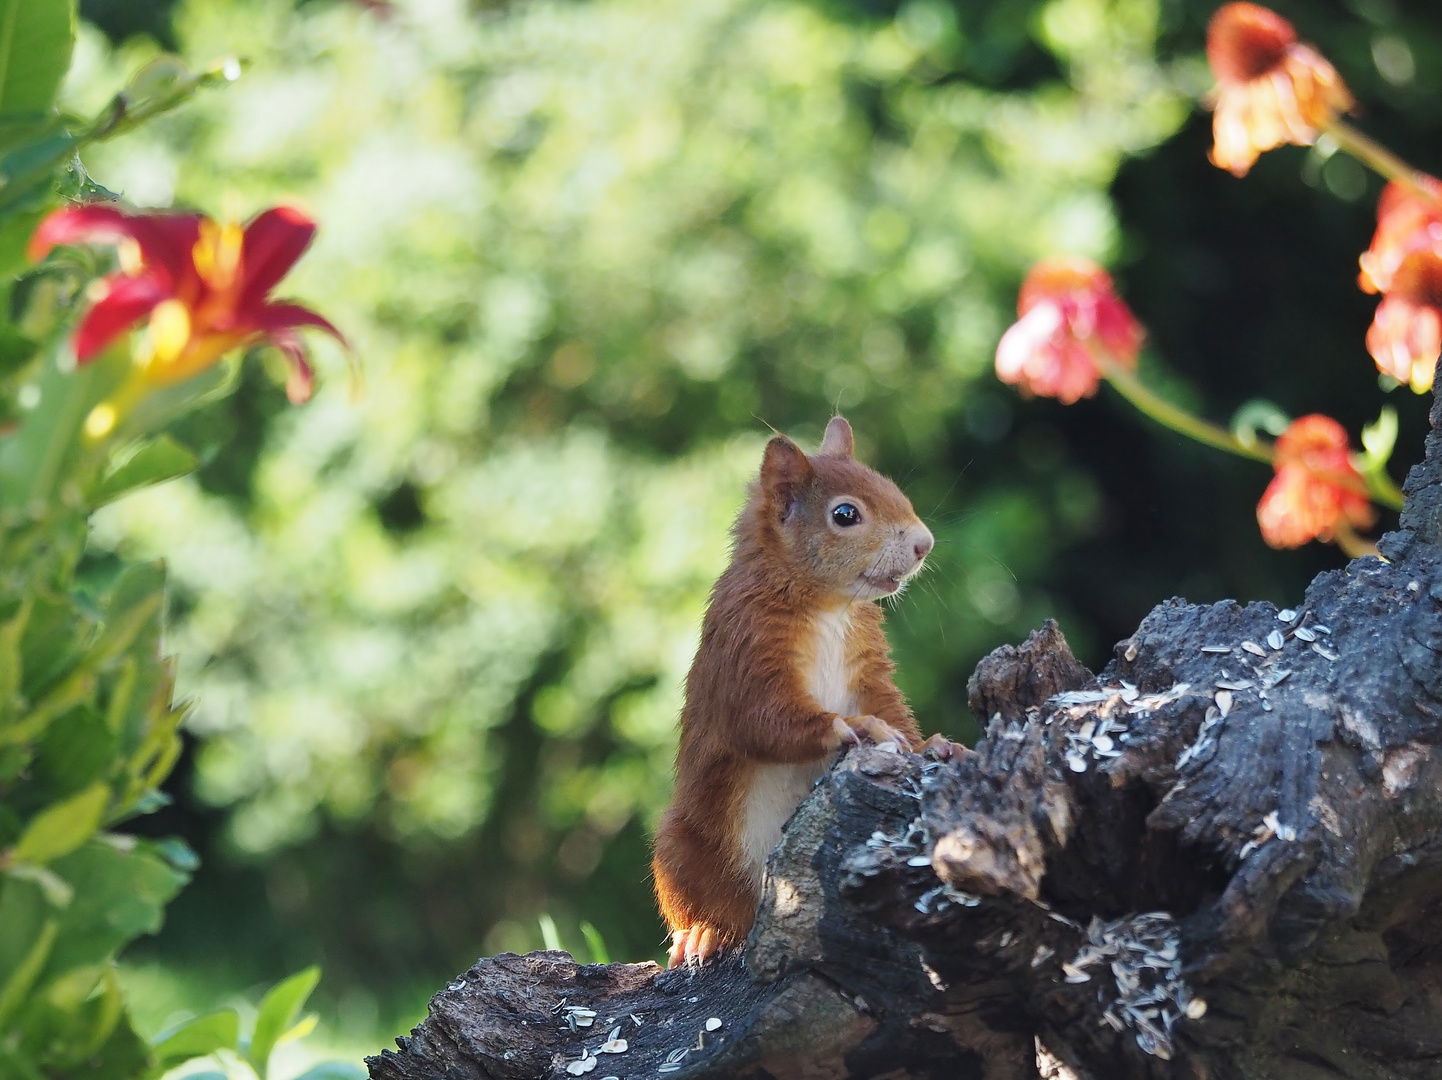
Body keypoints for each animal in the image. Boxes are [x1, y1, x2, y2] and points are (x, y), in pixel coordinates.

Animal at [651, 418, 945, 963]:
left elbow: (891, 706)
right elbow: (761, 719)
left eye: (894, 488)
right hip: (684, 850)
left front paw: (936, 744)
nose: (925, 544)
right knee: (701, 903)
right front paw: (857, 726)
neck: (828, 607)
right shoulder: (743, 649)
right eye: (845, 515)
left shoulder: (867, 667)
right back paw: (699, 933)